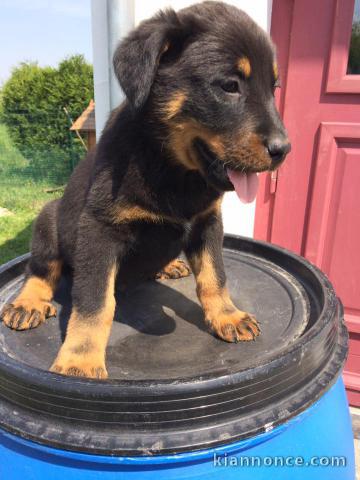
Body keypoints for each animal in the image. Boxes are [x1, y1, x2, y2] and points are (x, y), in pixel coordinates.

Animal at [0, 0, 290, 378]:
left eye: (274, 87)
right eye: (229, 85)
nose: (284, 150)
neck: (173, 168)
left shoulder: (207, 222)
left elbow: (215, 275)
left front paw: (228, 315)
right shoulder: (99, 230)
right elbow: (94, 302)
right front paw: (80, 358)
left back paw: (169, 266)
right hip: (49, 221)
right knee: (40, 269)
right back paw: (28, 302)